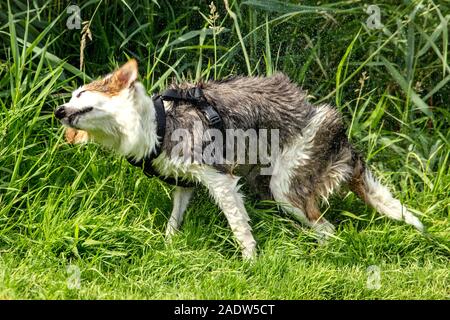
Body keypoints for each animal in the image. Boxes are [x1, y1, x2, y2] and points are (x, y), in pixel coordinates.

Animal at [54, 59, 424, 260]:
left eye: (81, 94)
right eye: (71, 96)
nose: (58, 111)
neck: (159, 122)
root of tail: (341, 137)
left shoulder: (221, 179)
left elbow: (238, 227)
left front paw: (250, 263)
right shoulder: (185, 184)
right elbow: (174, 220)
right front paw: (168, 244)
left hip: (284, 188)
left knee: (328, 229)